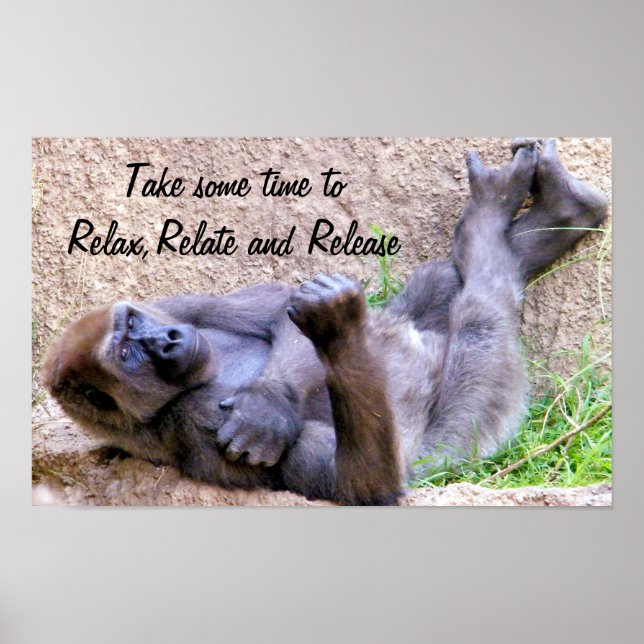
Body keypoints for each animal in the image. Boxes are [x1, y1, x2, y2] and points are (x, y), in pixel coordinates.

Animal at [42, 139, 608, 505]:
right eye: (126, 354)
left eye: (135, 325)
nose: (166, 341)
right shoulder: (186, 424)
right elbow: (363, 485)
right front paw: (337, 330)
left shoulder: (183, 303)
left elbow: (277, 310)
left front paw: (268, 404)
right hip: (456, 444)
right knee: (482, 317)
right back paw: (508, 219)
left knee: (445, 280)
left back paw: (555, 207)